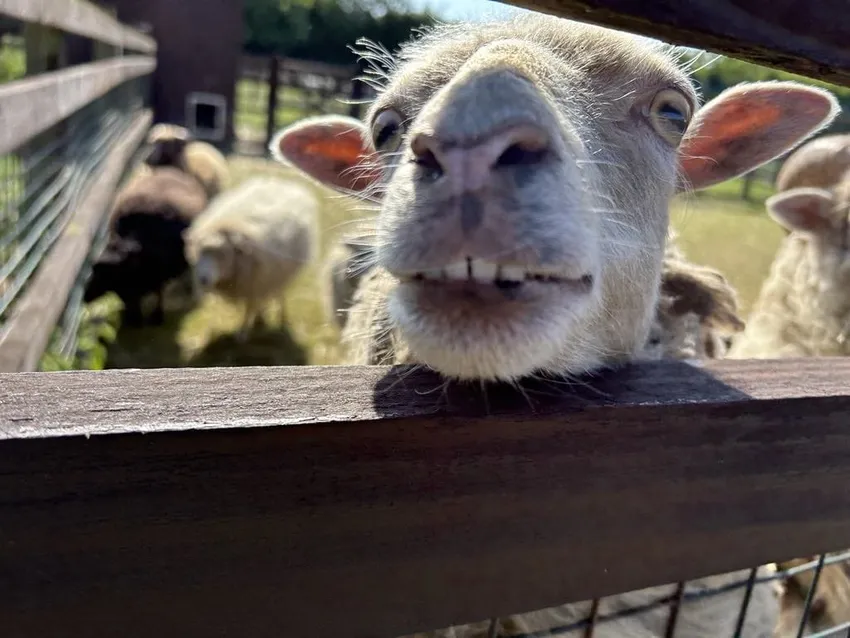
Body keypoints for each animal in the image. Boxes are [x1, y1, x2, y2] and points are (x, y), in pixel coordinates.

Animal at [84, 166, 209, 326]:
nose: (84, 297)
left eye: (102, 273)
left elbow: (158, 292)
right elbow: (130, 299)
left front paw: (156, 316)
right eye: (93, 270)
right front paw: (132, 319)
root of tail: (169, 170)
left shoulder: (160, 273)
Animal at [183, 175, 318, 342]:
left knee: (280, 294)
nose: (202, 279)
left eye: (223, 254)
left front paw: (242, 333)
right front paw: (257, 320)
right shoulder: (254, 282)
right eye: (198, 252)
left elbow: (249, 308)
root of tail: (285, 184)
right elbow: (254, 305)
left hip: (279, 274)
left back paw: (282, 318)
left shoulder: (254, 282)